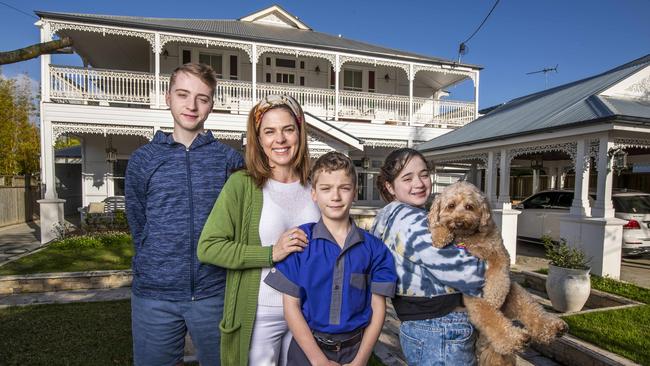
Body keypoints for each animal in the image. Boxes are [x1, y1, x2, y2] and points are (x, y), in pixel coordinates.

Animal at [428, 182, 564, 364]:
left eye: (469, 206)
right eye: (450, 206)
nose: (459, 222)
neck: (468, 238)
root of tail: (504, 311)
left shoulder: (499, 254)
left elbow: (497, 277)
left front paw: (494, 294)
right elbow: (438, 225)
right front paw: (439, 235)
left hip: (516, 293)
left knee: (533, 312)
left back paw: (553, 328)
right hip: (476, 304)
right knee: (494, 323)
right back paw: (517, 339)